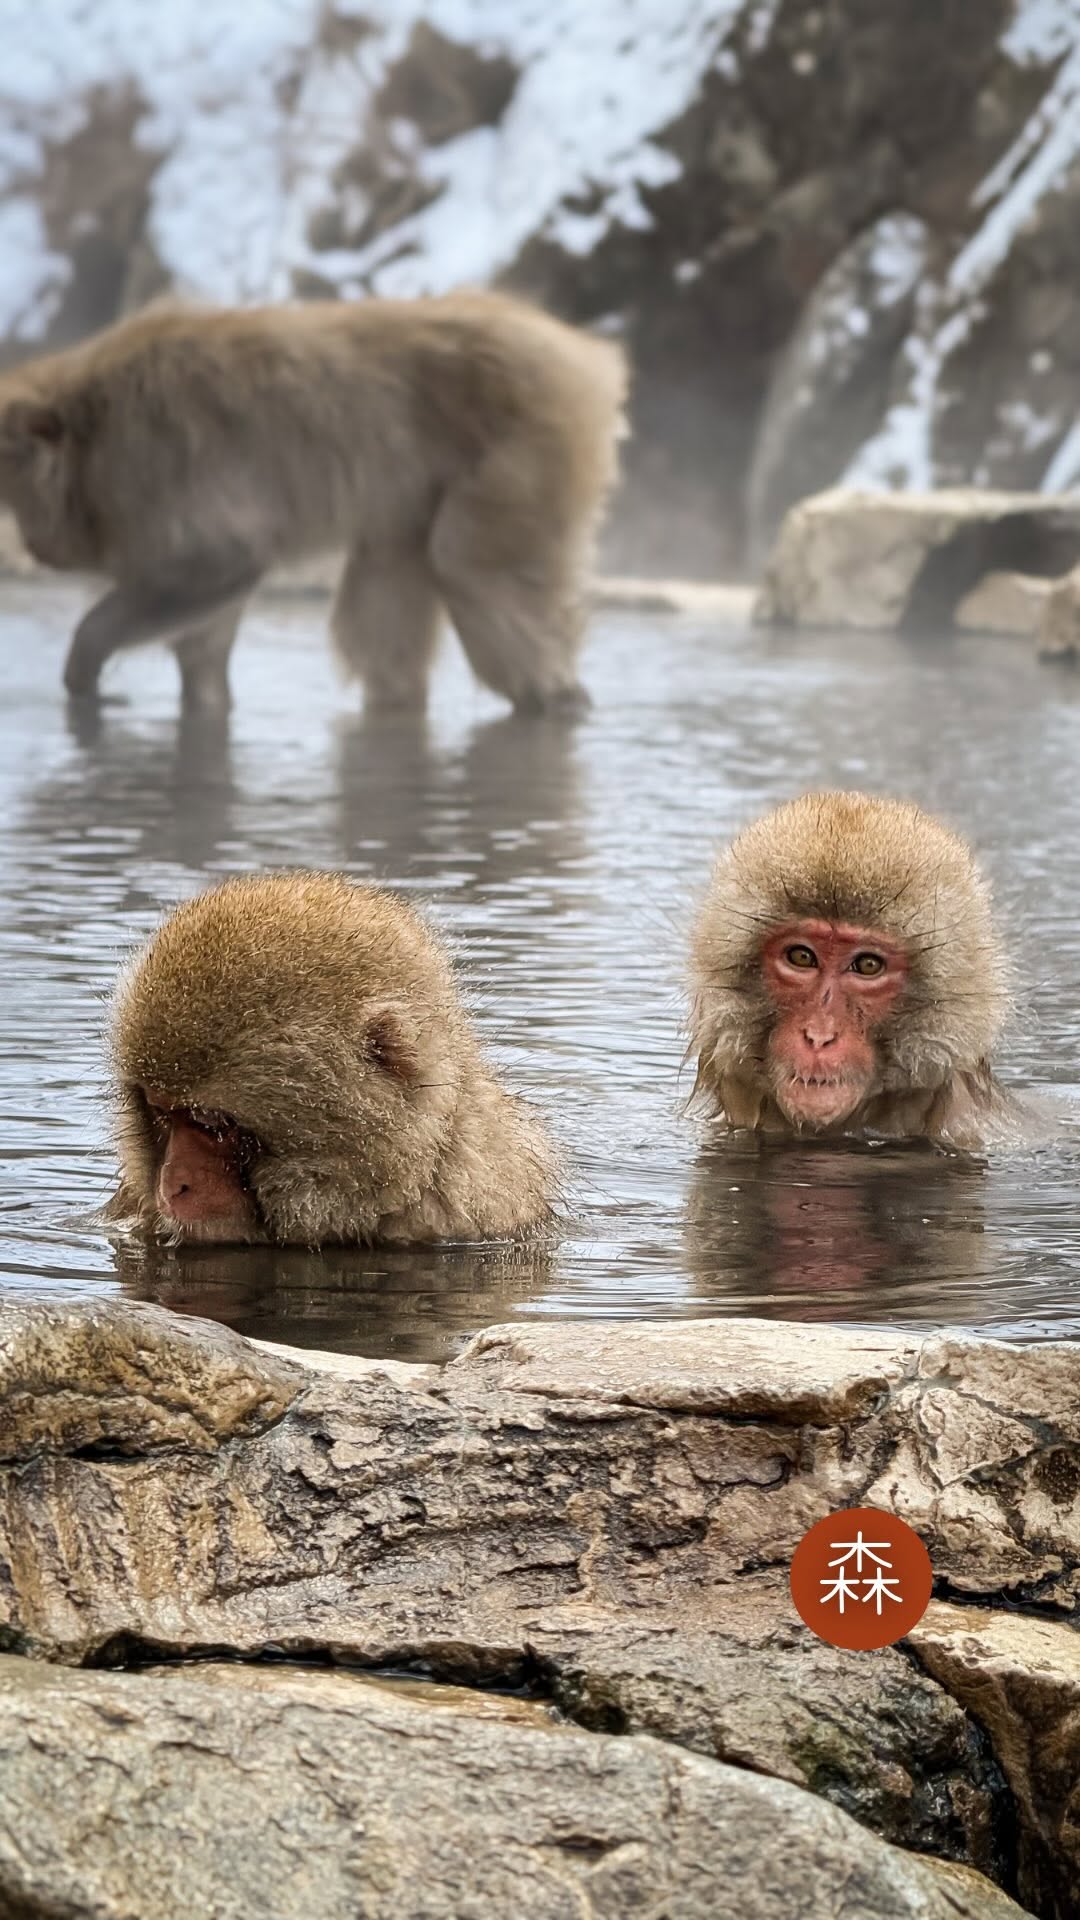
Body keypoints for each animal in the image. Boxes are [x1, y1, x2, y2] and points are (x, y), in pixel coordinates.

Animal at [0, 291, 627, 715]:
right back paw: (397, 702)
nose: (34, 545)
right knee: (385, 582)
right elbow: (208, 622)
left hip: (526, 446)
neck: (93, 429)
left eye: (19, 495)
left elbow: (223, 561)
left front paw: (84, 662)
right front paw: (207, 703)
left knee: (470, 569)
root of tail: (581, 353)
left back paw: (556, 698)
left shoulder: (157, 469)